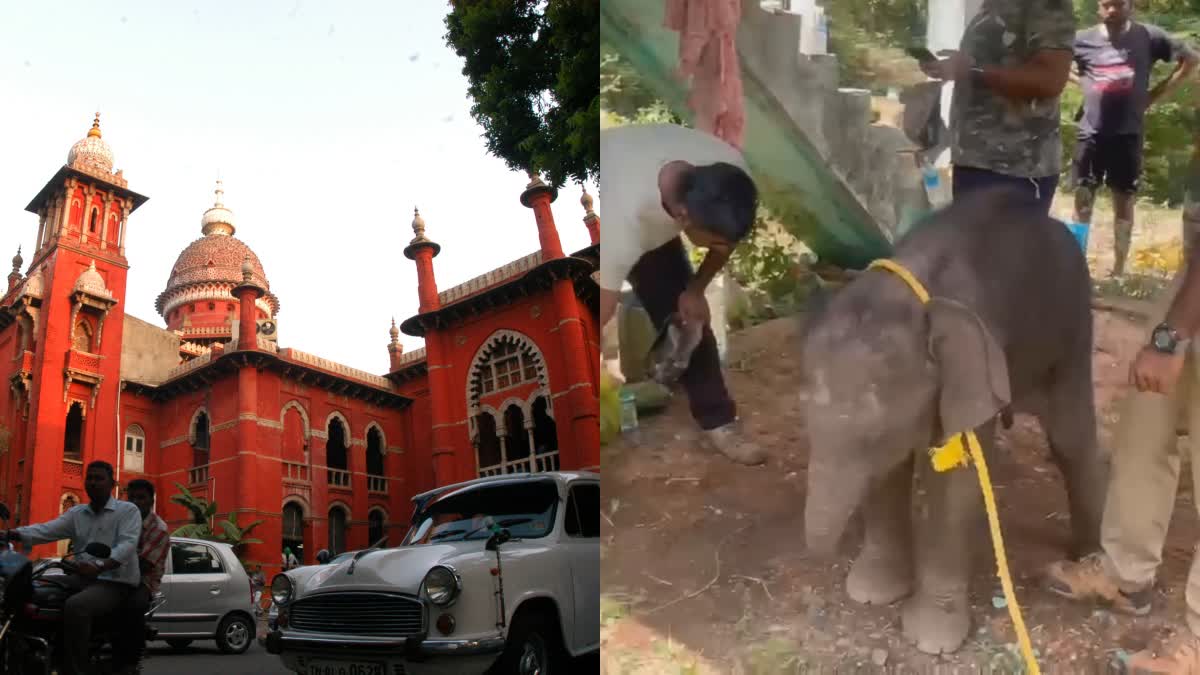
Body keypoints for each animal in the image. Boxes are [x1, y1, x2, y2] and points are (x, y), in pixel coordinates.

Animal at [801, 184, 1108, 653]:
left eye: (874, 436)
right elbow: (891, 472)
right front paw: (871, 596)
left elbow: (954, 483)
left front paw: (932, 641)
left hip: (1072, 327)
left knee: (1070, 438)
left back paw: (1087, 559)